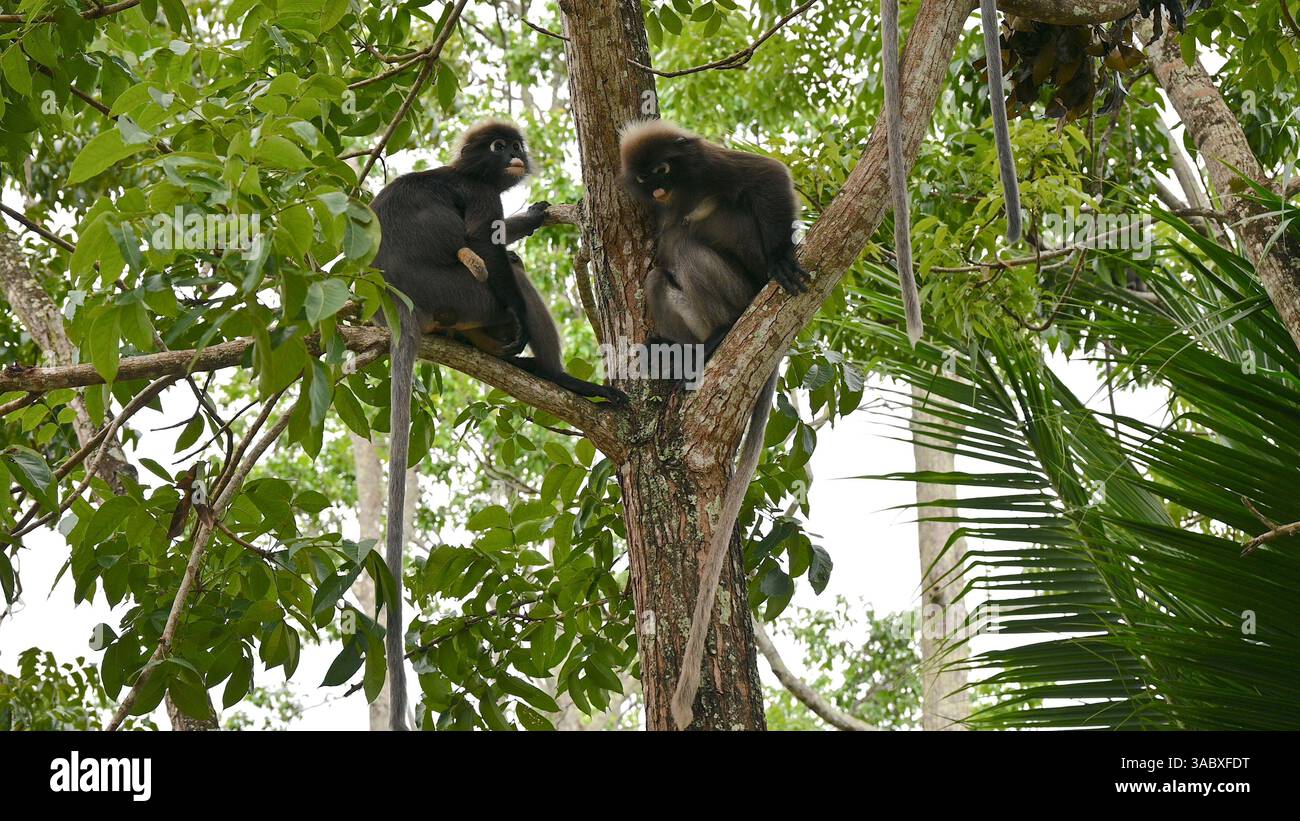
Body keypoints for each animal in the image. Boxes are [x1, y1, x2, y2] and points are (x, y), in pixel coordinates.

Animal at [369, 120, 619, 730]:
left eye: (516, 146)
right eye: (500, 147)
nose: (517, 157)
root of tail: (401, 304)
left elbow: (505, 236)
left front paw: (532, 214)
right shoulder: (480, 196)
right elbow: (486, 241)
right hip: (466, 297)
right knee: (506, 271)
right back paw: (559, 376)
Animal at [619, 119, 808, 729]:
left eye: (663, 169)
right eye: (645, 180)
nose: (655, 189)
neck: (682, 192)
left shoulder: (715, 165)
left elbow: (768, 174)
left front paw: (781, 254)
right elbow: (655, 251)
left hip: (741, 287)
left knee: (684, 249)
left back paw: (726, 327)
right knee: (658, 273)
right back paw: (693, 354)